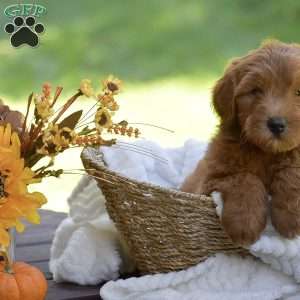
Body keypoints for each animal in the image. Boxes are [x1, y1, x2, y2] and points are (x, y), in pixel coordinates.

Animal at [180, 39, 300, 246]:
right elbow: (243, 177)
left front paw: (291, 216)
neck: (266, 153)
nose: (276, 124)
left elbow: (292, 171)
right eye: (255, 91)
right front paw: (245, 224)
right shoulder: (208, 180)